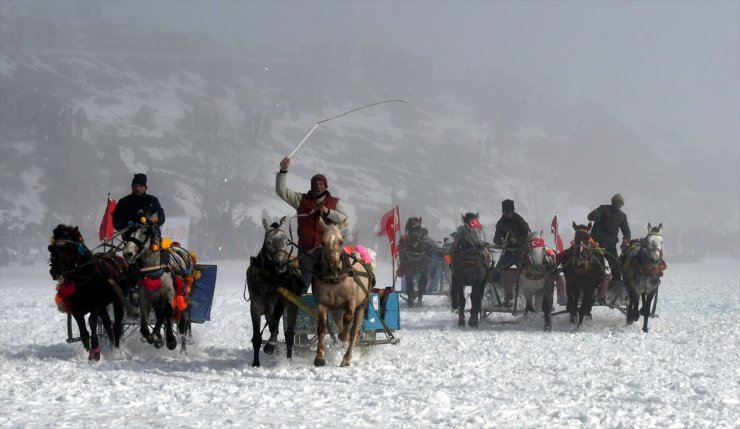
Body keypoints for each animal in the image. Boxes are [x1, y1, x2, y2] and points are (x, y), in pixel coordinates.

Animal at [48, 226, 129, 360]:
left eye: (69, 248)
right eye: (52, 248)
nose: (55, 271)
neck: (83, 279)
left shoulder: (96, 305)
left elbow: (92, 323)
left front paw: (95, 352)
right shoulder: (75, 309)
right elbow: (83, 331)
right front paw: (87, 352)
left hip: (118, 301)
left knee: (116, 326)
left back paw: (115, 349)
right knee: (107, 323)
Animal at [121, 216, 192, 350]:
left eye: (145, 232)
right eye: (127, 234)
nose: (127, 253)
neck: (153, 269)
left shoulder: (169, 294)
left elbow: (168, 313)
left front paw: (170, 340)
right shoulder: (145, 298)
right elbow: (144, 324)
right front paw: (153, 336)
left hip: (182, 294)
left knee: (179, 314)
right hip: (156, 299)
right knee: (159, 315)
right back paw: (157, 336)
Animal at [243, 216, 300, 366]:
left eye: (286, 241)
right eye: (268, 241)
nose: (281, 265)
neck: (268, 278)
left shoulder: (280, 301)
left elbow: (275, 326)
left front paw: (270, 345)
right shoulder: (256, 305)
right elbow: (257, 337)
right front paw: (256, 363)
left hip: (293, 305)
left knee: (289, 335)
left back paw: (289, 358)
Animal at [310, 219, 372, 366]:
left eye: (341, 241)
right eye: (323, 242)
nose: (333, 269)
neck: (334, 280)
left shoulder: (351, 301)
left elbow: (348, 319)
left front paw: (344, 336)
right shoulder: (322, 304)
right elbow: (321, 328)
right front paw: (319, 357)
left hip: (362, 305)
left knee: (354, 330)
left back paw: (346, 357)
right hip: (337, 310)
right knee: (340, 323)